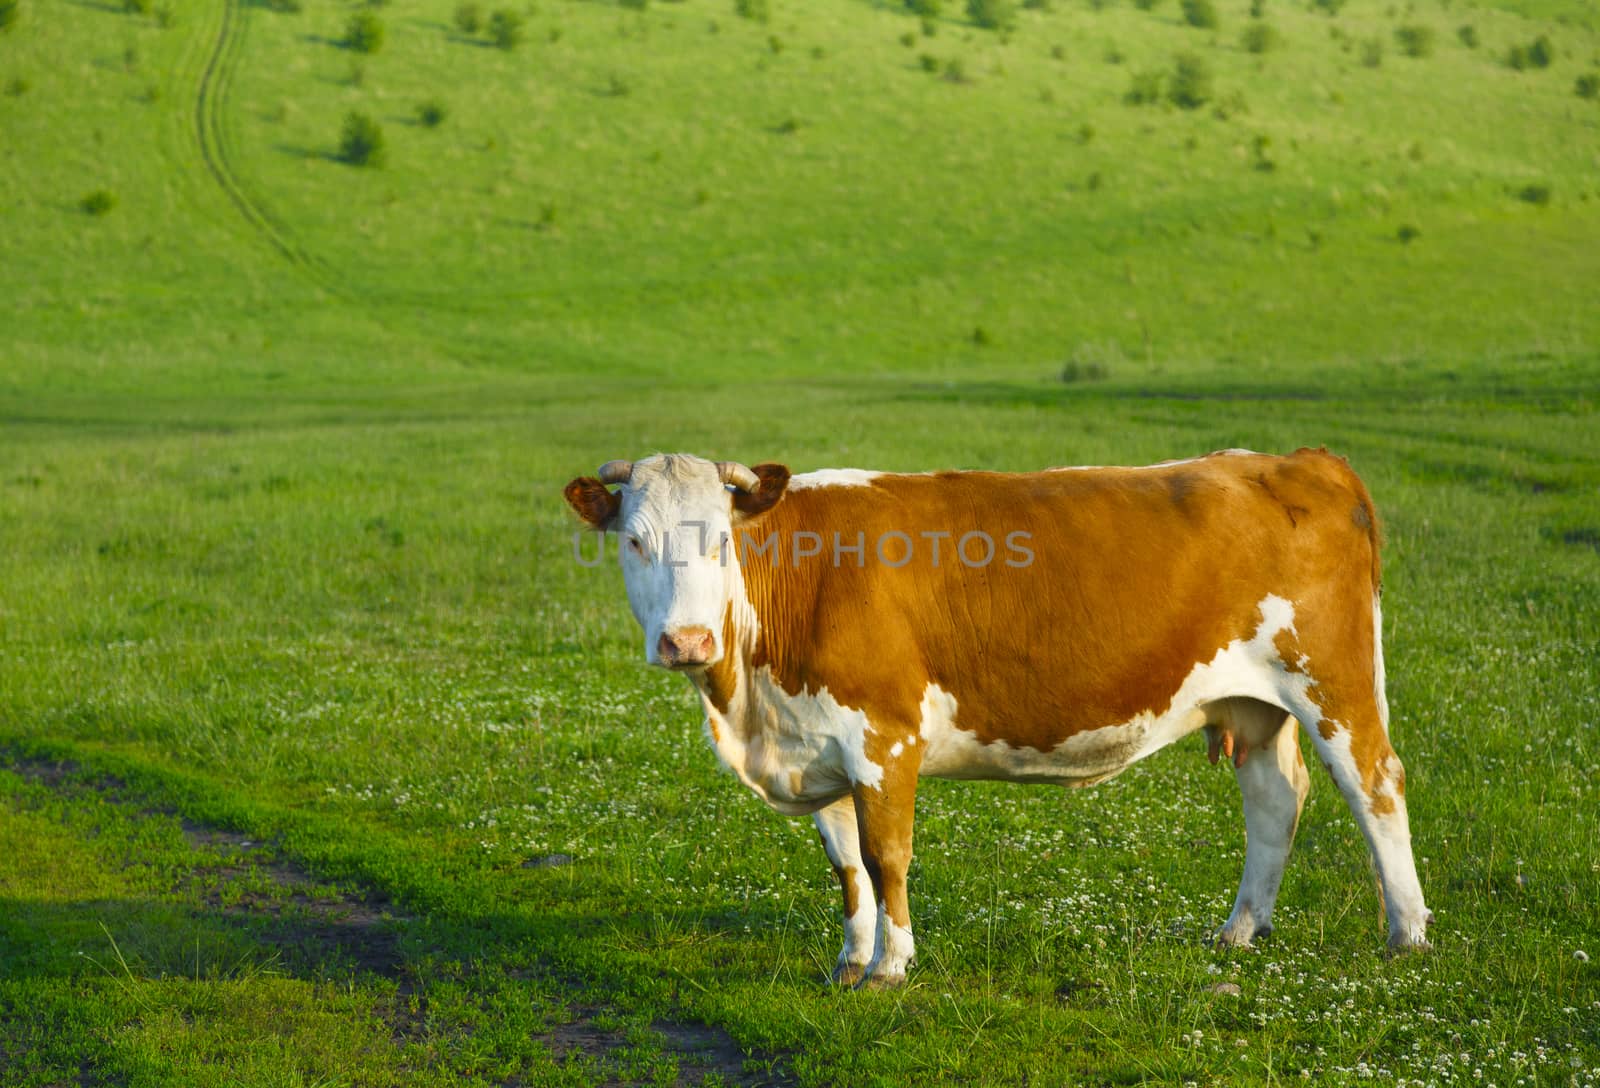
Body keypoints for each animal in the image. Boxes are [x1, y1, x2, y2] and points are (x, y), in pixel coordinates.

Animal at [566, 448, 1440, 985]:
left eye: (720, 539)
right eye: (635, 541)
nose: (687, 640)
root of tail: (1296, 461)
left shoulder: (885, 737)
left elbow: (886, 857)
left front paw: (890, 967)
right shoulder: (816, 743)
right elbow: (845, 863)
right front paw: (849, 961)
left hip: (1333, 681)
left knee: (1375, 786)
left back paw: (1408, 934)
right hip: (1253, 705)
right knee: (1273, 801)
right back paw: (1239, 930)